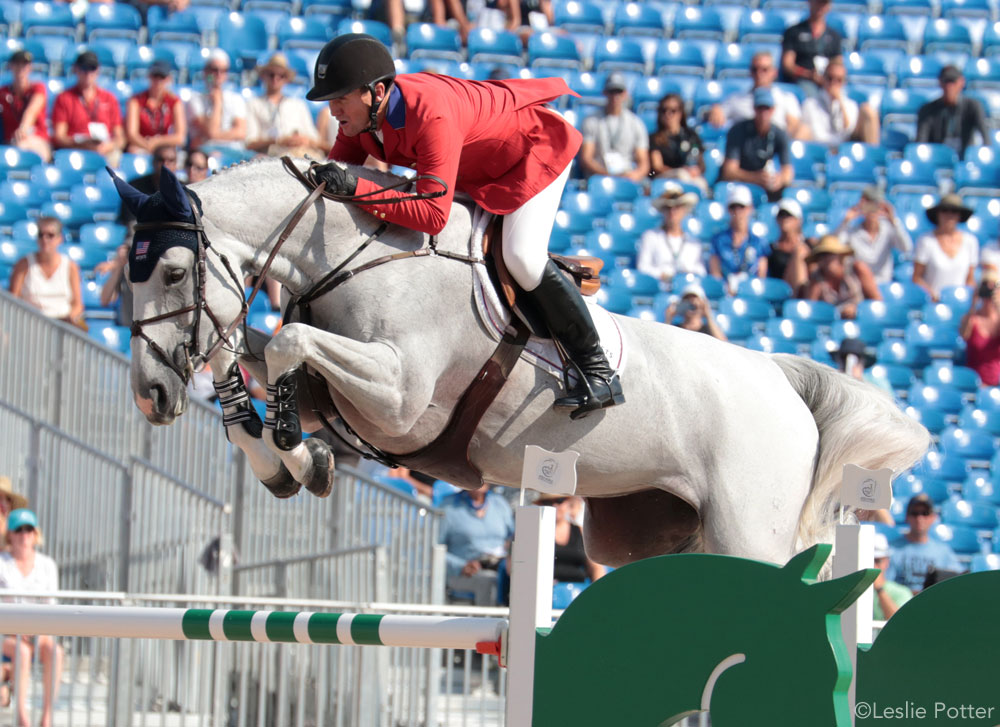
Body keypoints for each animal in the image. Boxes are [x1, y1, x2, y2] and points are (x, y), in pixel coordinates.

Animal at [119, 159, 928, 568]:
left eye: (172, 272)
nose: (152, 395)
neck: (350, 254)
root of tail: (781, 377)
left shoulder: (401, 398)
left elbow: (286, 346)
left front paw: (292, 449)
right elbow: (249, 360)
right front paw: (290, 464)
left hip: (748, 530)